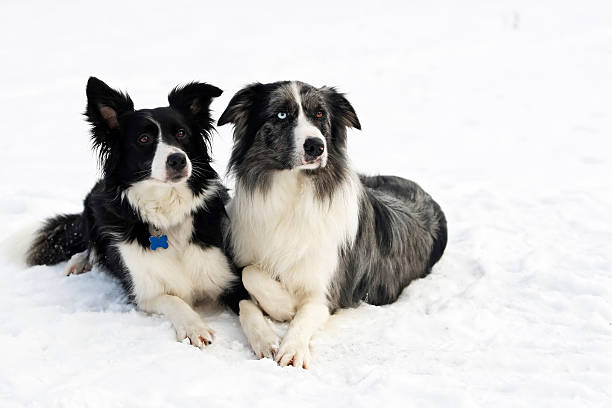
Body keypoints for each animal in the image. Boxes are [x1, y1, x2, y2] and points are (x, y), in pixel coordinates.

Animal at [26, 77, 241, 348]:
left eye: (182, 133)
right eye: (144, 139)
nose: (178, 160)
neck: (167, 214)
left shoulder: (229, 278)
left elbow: (253, 311)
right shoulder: (145, 293)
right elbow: (175, 301)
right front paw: (195, 327)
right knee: (90, 246)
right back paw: (79, 263)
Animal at [218, 81, 448, 368]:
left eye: (320, 115)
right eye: (281, 114)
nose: (316, 146)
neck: (291, 196)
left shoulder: (328, 292)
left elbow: (302, 313)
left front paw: (292, 343)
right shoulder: (233, 277)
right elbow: (249, 281)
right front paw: (269, 332)